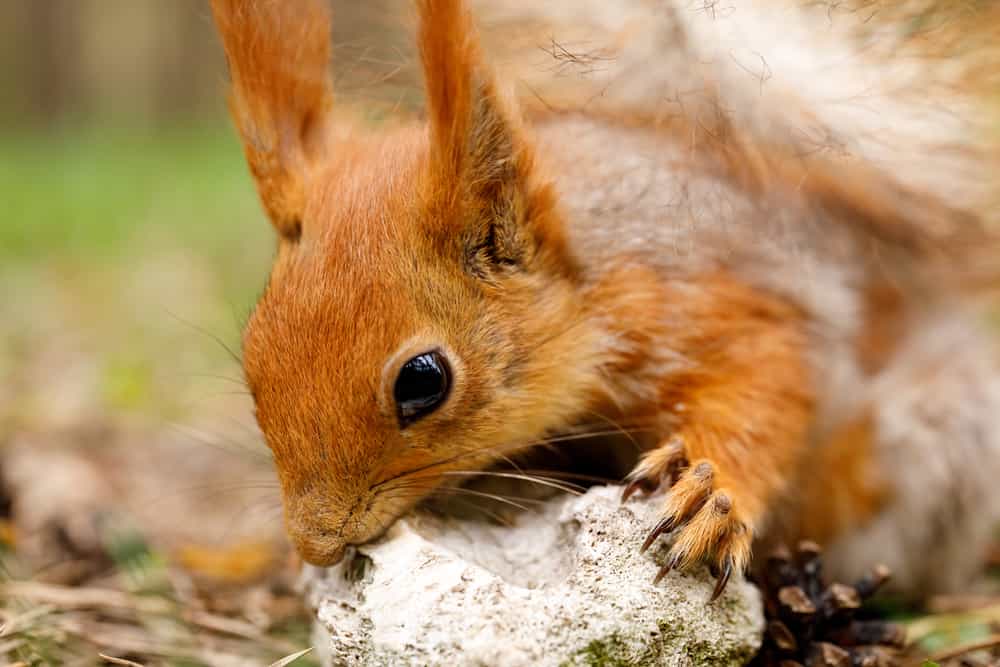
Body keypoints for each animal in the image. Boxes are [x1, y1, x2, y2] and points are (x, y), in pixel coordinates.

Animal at [209, 0, 1000, 600]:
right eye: (252, 358)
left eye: (422, 381)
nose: (315, 542)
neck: (590, 284)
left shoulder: (722, 304)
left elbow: (769, 389)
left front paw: (711, 496)